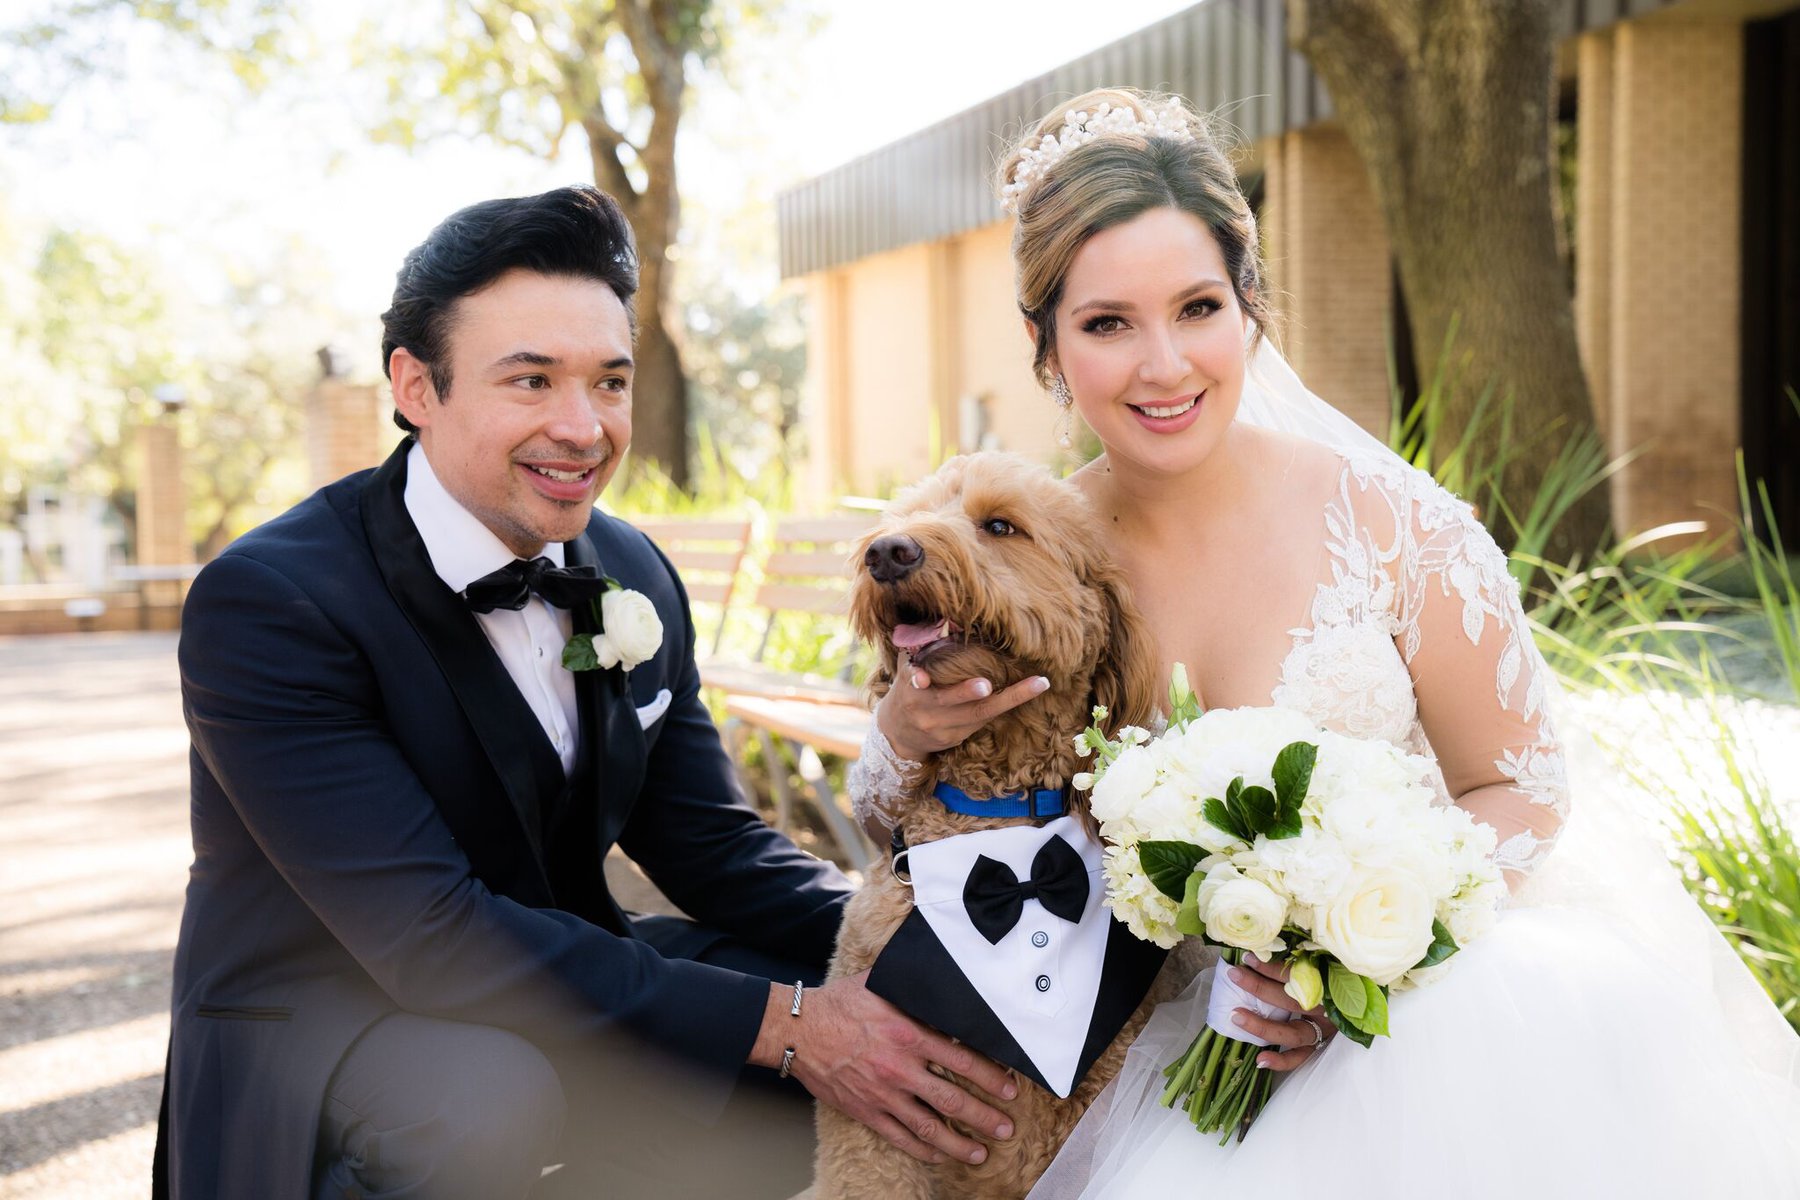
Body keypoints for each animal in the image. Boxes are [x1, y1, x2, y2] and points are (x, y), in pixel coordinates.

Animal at [813, 453, 1180, 1200]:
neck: (999, 818)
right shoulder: (874, 1123)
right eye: (905, 518)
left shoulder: (1098, 1095)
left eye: (1001, 526)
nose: (886, 553)